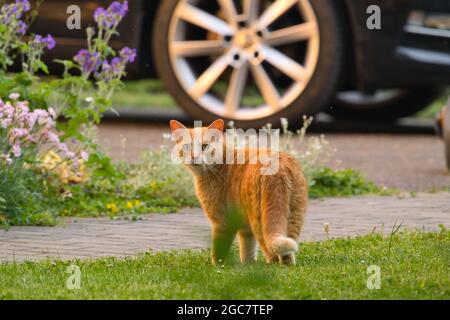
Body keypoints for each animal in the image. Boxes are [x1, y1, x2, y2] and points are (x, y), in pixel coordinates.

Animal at [171, 119, 308, 264]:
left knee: (273, 256)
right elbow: (247, 249)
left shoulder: (222, 223)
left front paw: (217, 266)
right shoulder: (245, 227)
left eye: (204, 146)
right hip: (294, 217)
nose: (194, 156)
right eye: (187, 147)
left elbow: (218, 252)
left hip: (260, 223)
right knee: (288, 255)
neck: (220, 166)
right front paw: (249, 265)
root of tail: (279, 167)